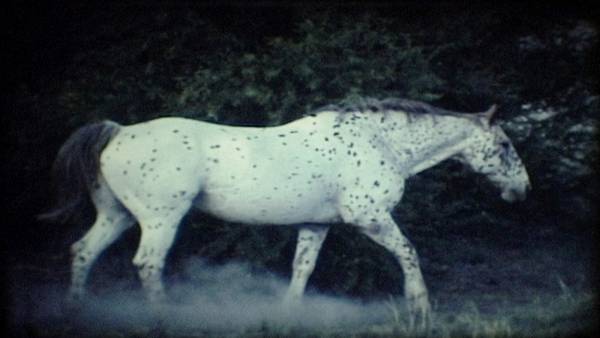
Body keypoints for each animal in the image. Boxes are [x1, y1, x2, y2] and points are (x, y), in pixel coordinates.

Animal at [45, 97, 528, 328]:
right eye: (504, 145)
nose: (522, 190)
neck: (381, 142)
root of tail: (118, 131)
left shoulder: (315, 225)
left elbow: (302, 269)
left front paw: (291, 315)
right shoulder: (370, 218)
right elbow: (409, 253)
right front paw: (421, 310)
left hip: (118, 216)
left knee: (83, 251)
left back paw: (76, 311)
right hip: (161, 219)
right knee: (147, 263)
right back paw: (162, 318)